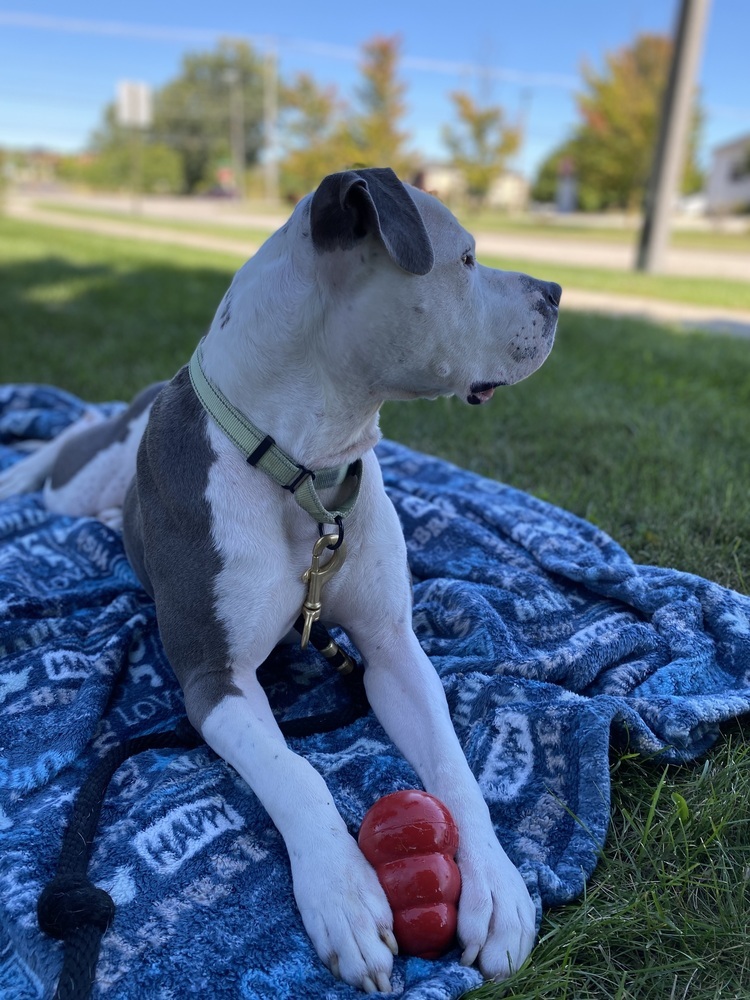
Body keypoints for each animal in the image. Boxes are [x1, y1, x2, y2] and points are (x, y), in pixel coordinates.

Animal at [2, 166, 560, 992]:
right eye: (465, 259)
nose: (555, 290)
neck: (306, 469)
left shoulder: (393, 650)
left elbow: (456, 768)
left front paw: (497, 887)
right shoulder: (214, 679)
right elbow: (296, 774)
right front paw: (343, 892)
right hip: (79, 479)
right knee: (62, 457)